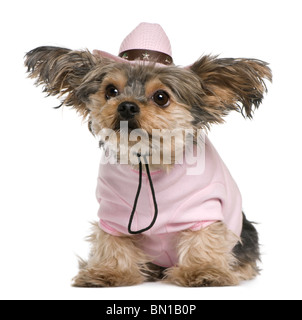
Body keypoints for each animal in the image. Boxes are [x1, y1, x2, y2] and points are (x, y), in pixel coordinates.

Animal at [24, 22, 272, 288]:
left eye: (161, 97)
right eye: (111, 91)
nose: (127, 105)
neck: (149, 161)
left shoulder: (203, 209)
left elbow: (203, 239)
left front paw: (203, 270)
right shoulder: (114, 215)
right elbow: (112, 243)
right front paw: (109, 271)